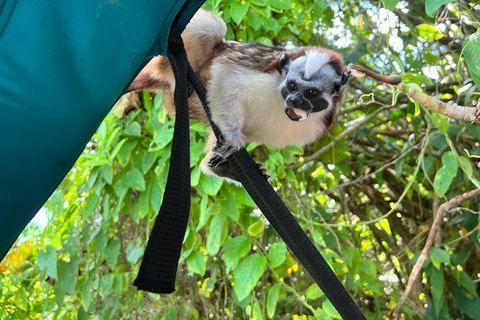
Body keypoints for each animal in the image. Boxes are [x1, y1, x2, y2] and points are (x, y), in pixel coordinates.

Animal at [124, 8, 348, 180]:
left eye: (310, 93)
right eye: (292, 86)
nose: (294, 100)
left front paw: (222, 166)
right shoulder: (265, 74)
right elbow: (227, 74)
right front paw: (232, 139)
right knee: (214, 28)